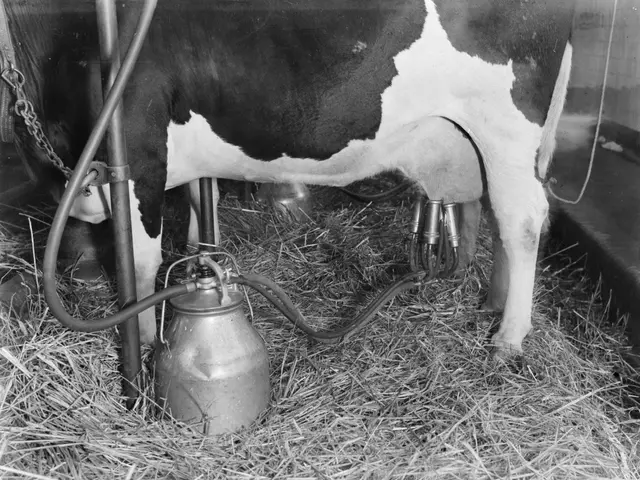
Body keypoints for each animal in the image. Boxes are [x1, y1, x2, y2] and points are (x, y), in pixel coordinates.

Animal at [5, 0, 576, 353]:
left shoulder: (137, 152)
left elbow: (141, 263)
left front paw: (143, 342)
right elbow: (197, 211)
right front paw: (196, 265)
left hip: (506, 130)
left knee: (523, 222)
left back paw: (509, 338)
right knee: (499, 218)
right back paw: (492, 304)